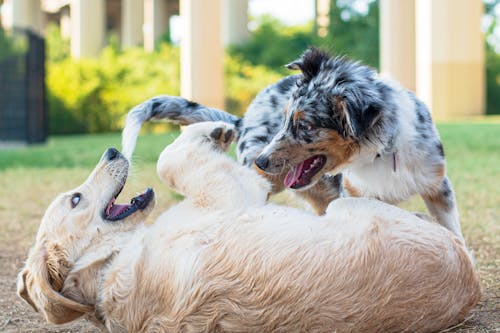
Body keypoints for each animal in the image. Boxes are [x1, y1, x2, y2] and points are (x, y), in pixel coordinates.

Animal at [19, 122, 480, 332]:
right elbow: (171, 160)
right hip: (352, 206)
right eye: (75, 199)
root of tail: (470, 282)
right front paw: (213, 130)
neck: (107, 266)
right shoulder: (233, 190)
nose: (113, 149)